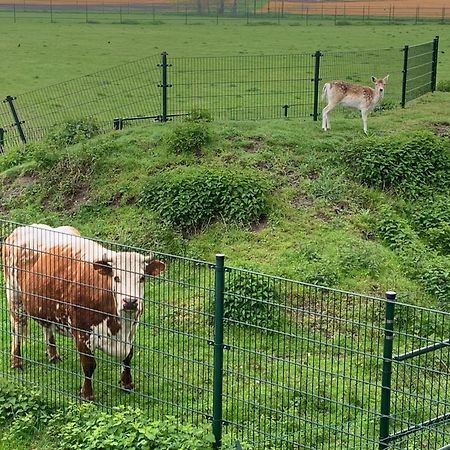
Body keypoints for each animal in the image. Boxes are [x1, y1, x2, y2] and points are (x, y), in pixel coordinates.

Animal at [0, 225, 166, 400]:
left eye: (142, 278)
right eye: (116, 278)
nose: (130, 302)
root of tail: (23, 228)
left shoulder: (132, 330)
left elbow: (128, 357)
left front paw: (127, 384)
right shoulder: (82, 332)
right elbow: (89, 365)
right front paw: (87, 394)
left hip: (45, 305)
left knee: (47, 327)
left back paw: (53, 355)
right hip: (15, 297)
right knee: (17, 330)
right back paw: (16, 362)